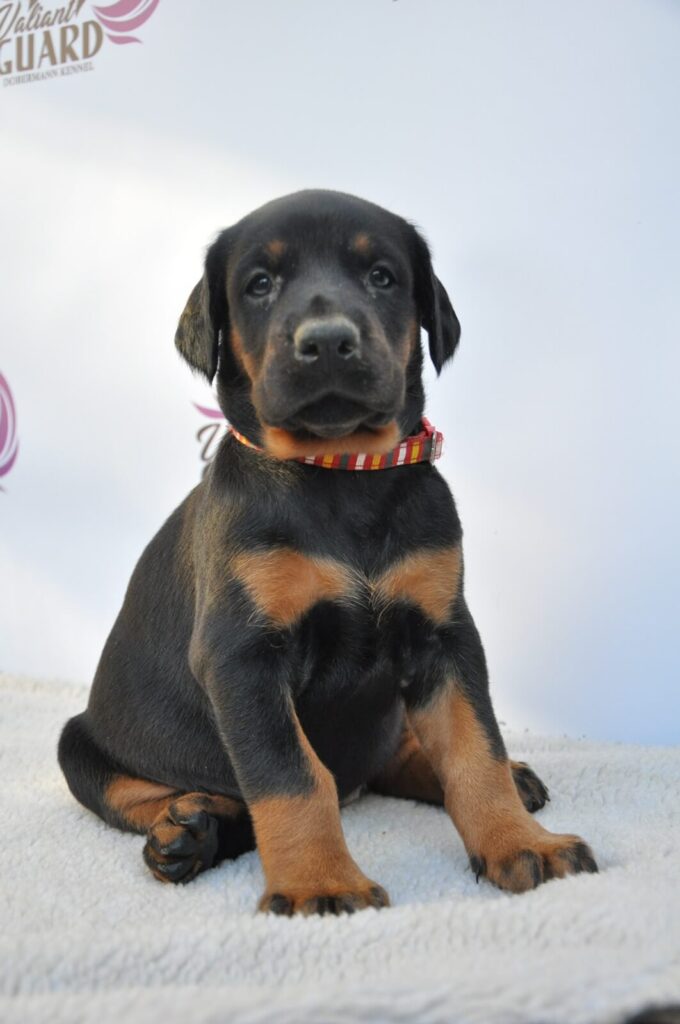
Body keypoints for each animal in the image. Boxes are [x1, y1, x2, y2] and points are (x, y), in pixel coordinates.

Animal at [59, 190, 602, 913]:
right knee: (140, 792)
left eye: (382, 276)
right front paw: (319, 880)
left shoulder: (444, 634)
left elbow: (474, 749)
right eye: (260, 283)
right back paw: (189, 828)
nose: (325, 342)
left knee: (399, 755)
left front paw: (520, 843)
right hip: (79, 742)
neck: (342, 473)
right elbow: (292, 776)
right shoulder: (243, 656)